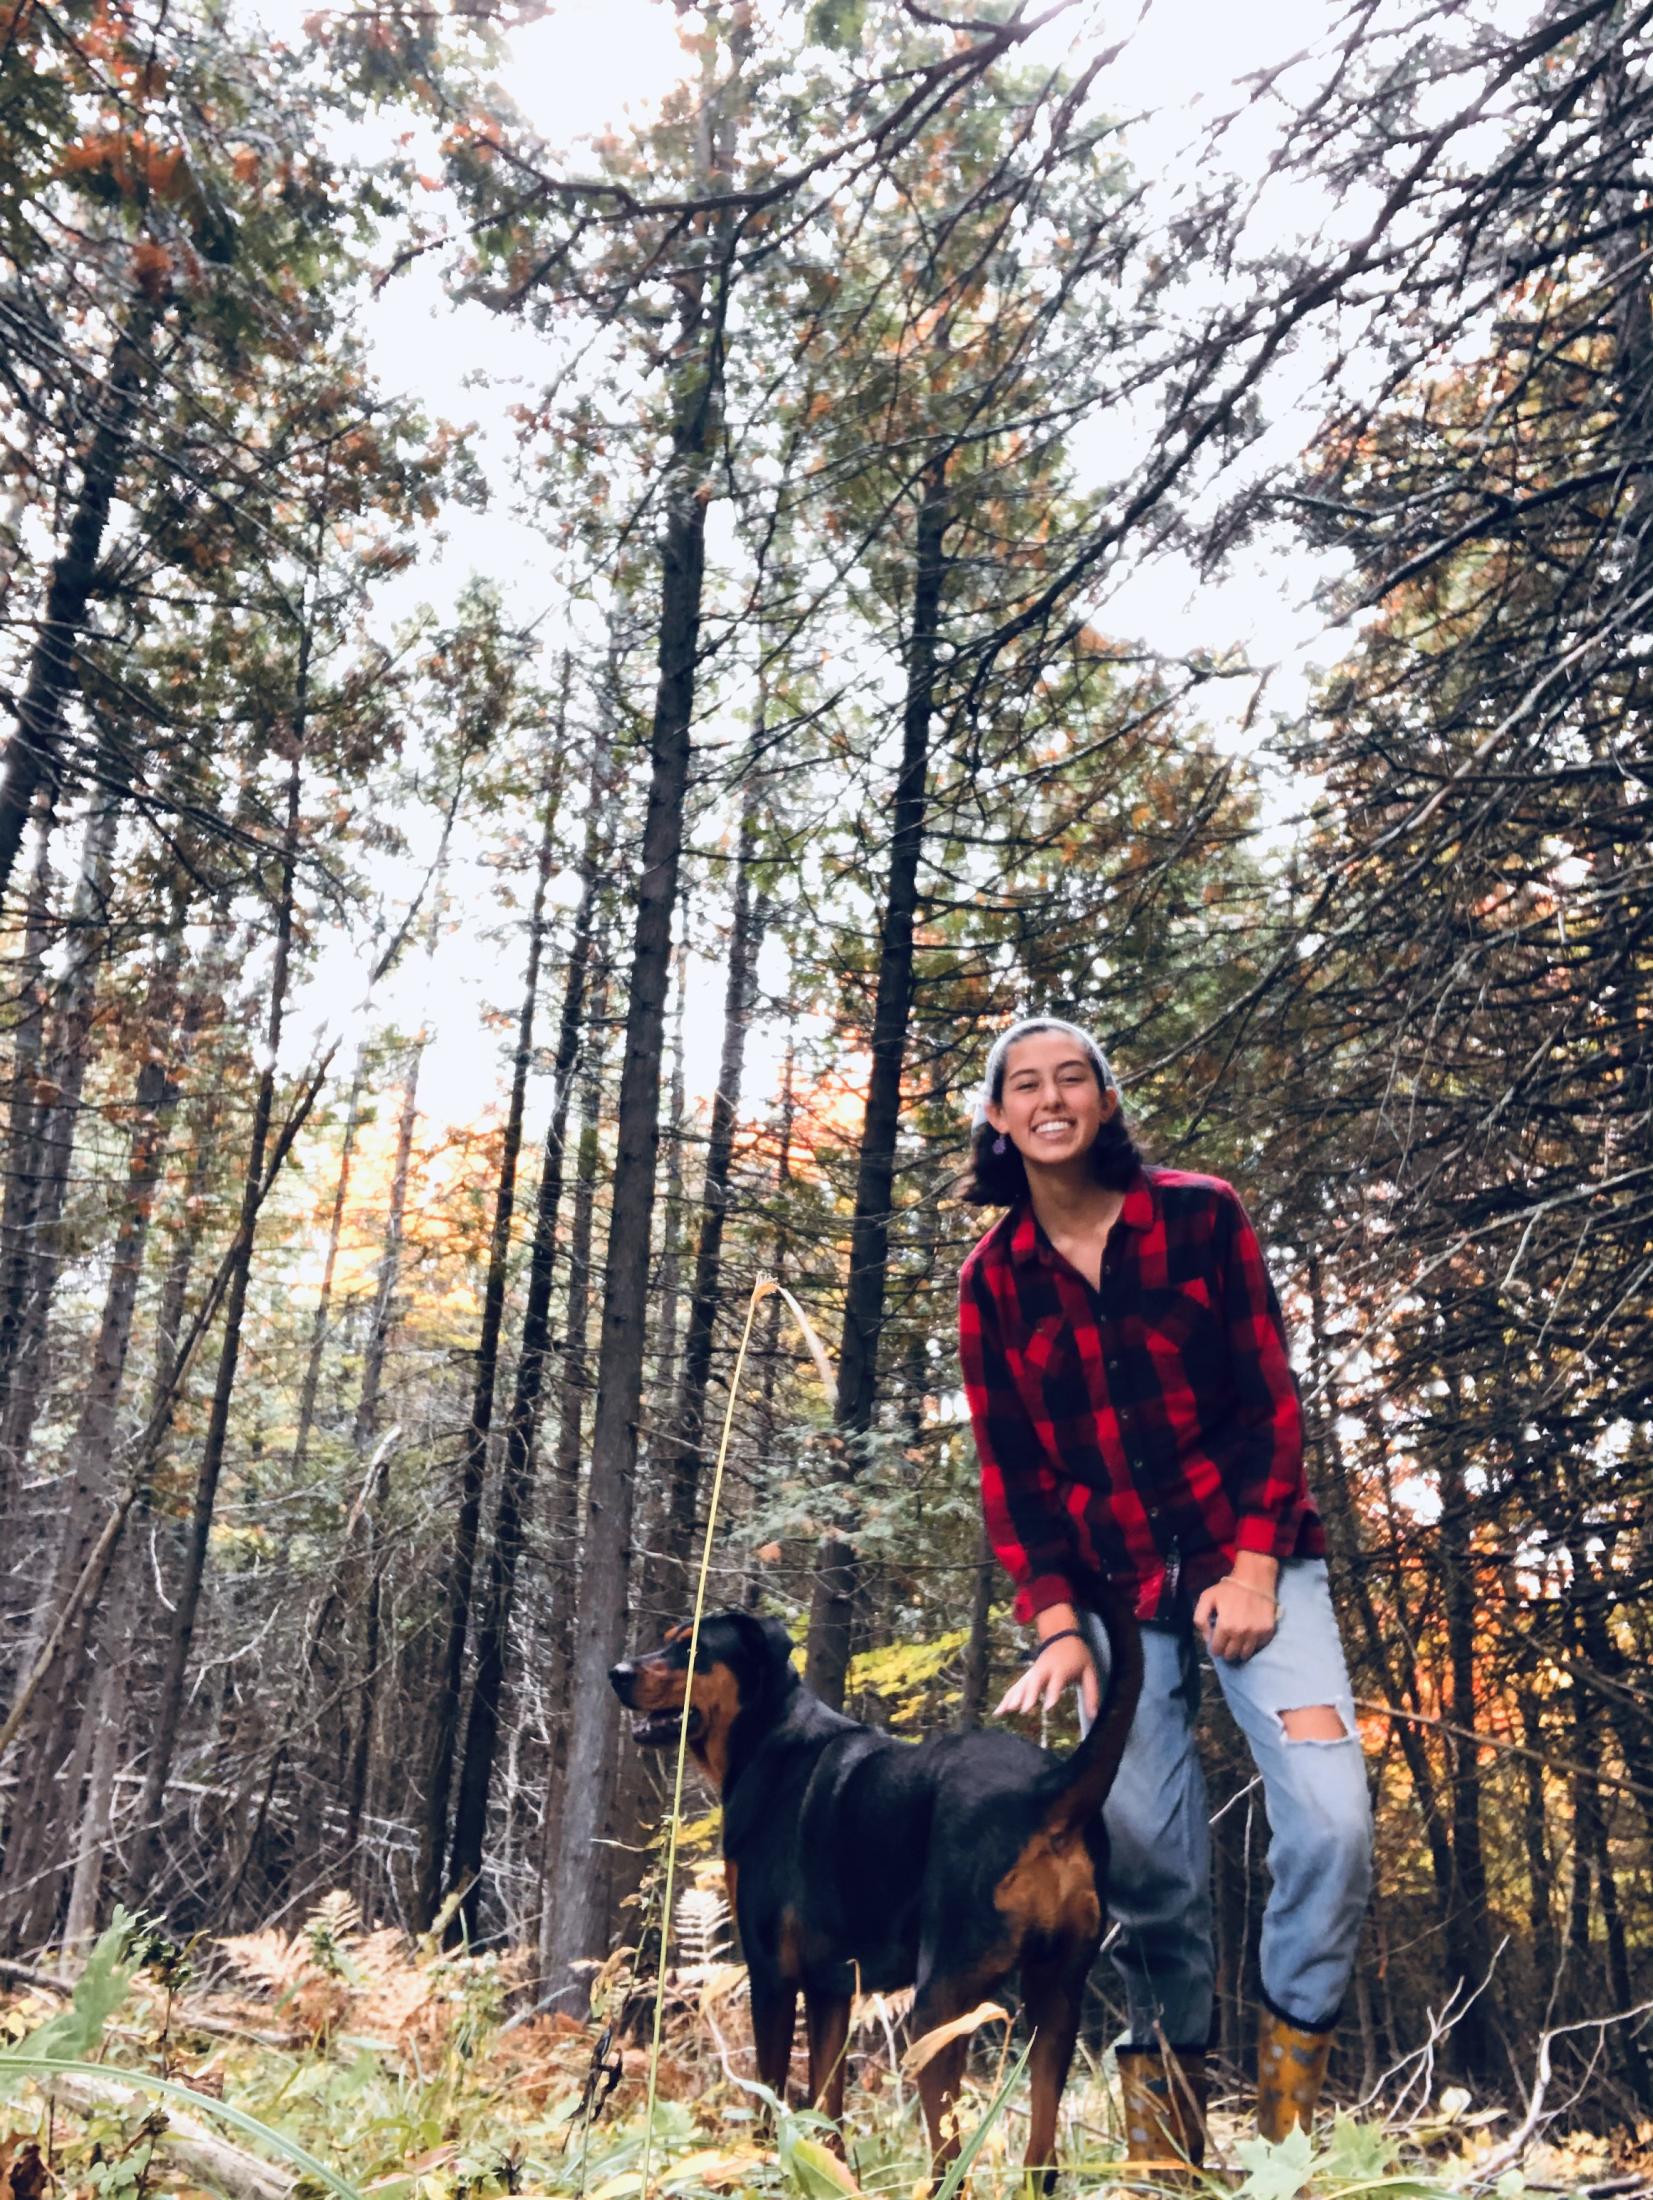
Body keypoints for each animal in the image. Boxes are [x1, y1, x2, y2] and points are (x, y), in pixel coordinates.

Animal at [616, 1601, 1144, 2182]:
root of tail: (1049, 1790)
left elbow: (769, 2101)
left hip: (939, 2007)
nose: (616, 1673)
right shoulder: (831, 1989)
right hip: (1055, 2000)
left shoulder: (772, 1975)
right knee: (1041, 2157)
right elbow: (827, 2110)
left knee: (950, 2158)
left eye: (692, 1649)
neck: (767, 1737)